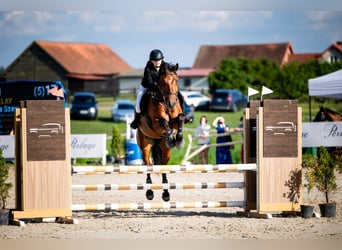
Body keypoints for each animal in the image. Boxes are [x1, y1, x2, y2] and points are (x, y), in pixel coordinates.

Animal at [136, 62, 186, 201]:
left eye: (177, 80)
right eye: (163, 82)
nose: (172, 103)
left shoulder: (175, 120)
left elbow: (180, 118)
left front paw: (178, 139)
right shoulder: (155, 123)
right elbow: (163, 122)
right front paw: (170, 138)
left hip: (165, 152)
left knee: (163, 167)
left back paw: (166, 193)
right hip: (145, 146)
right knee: (148, 166)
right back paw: (149, 192)